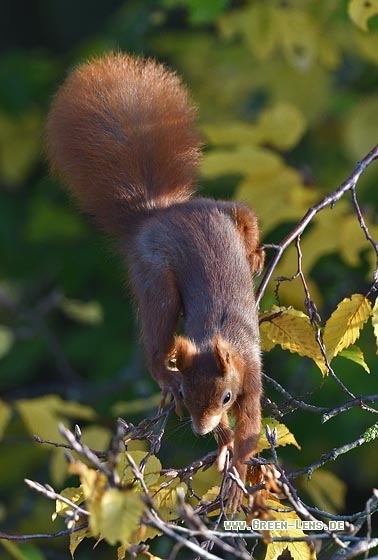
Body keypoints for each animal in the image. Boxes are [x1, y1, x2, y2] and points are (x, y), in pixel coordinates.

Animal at [45, 53, 264, 512]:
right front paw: (223, 444)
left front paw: (235, 466)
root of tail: (155, 214)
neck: (219, 339)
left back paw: (254, 255)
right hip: (154, 278)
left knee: (244, 217)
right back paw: (163, 374)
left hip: (220, 216)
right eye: (191, 397)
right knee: (156, 331)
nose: (200, 430)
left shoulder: (251, 377)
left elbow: (251, 427)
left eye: (226, 397)